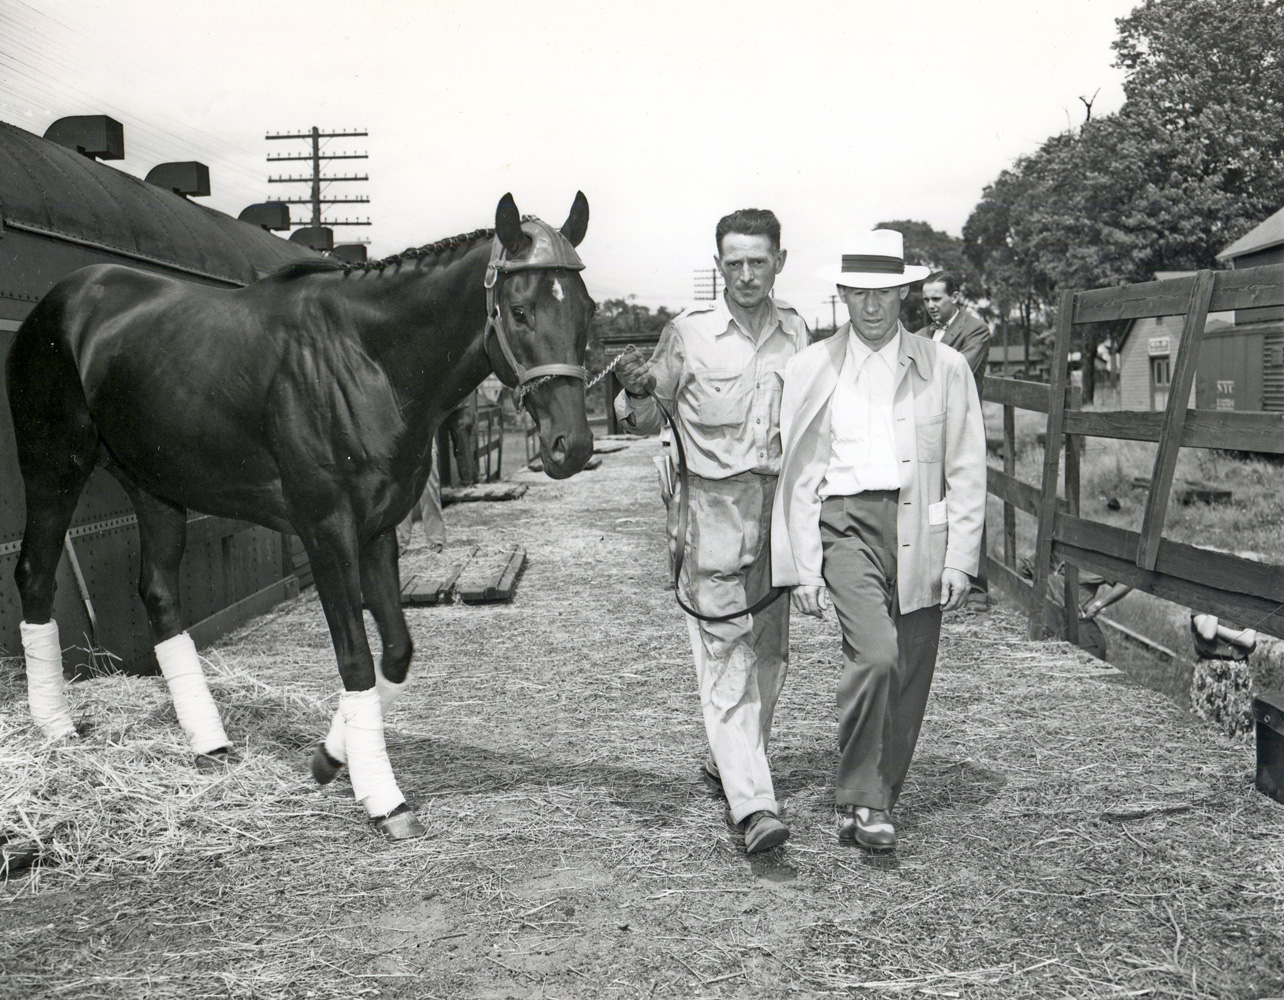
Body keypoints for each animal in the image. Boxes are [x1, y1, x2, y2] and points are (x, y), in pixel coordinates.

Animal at [6, 193, 595, 836]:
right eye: (519, 310)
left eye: (586, 309)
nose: (571, 446)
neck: (365, 360)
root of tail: (63, 299)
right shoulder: (326, 533)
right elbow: (356, 658)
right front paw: (384, 799)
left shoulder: (378, 529)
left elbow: (395, 652)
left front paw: (329, 759)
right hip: (53, 467)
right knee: (34, 576)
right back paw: (57, 729)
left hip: (154, 487)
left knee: (159, 594)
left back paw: (208, 743)